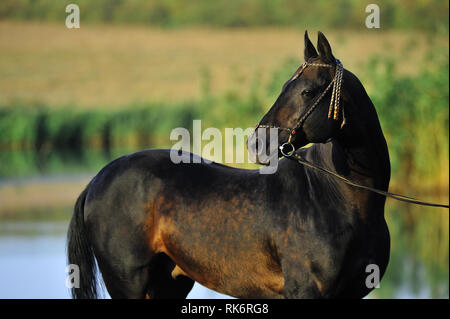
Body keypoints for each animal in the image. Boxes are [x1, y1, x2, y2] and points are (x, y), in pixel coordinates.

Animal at [67, 31, 390, 298]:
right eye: (286, 87)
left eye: (308, 91)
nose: (257, 142)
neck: (333, 197)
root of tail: (98, 178)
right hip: (129, 283)